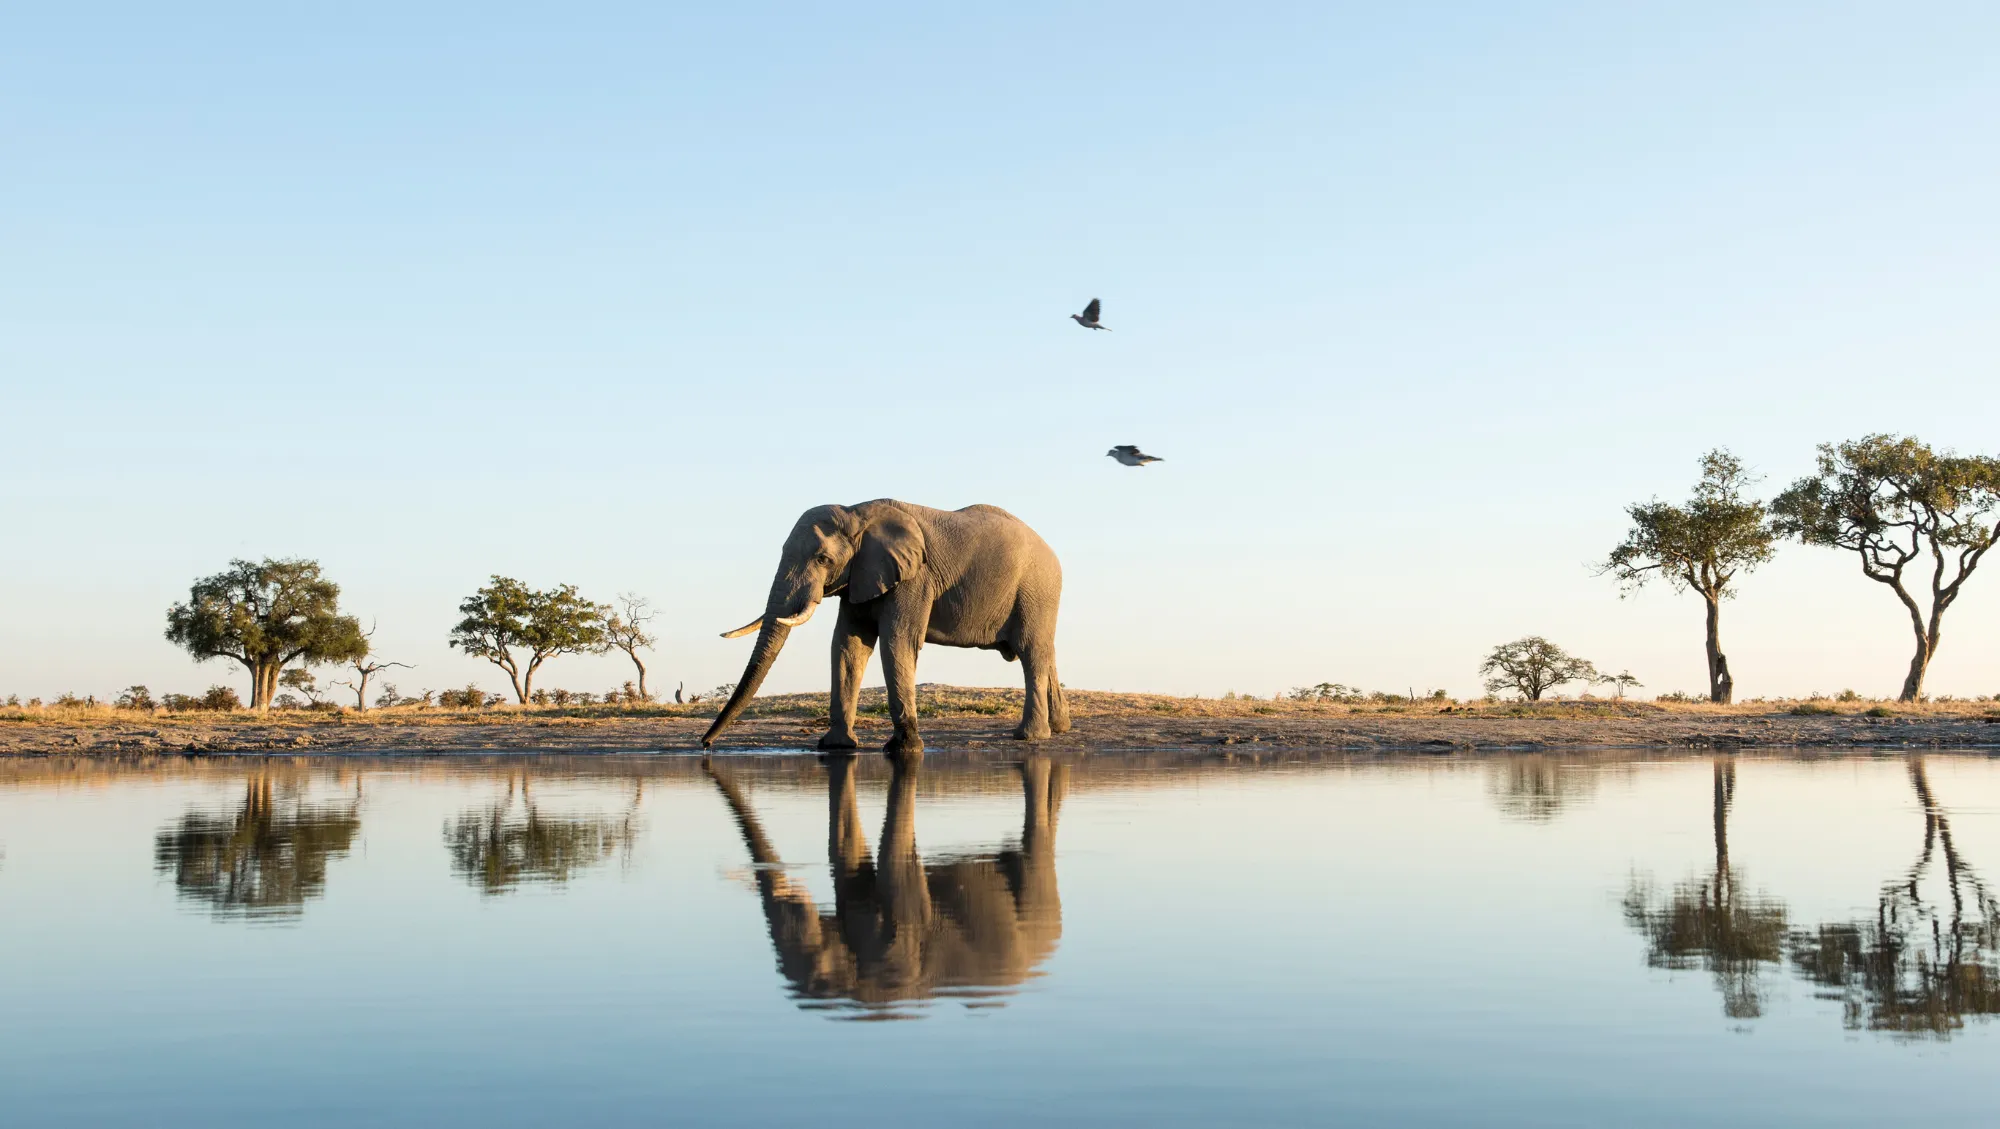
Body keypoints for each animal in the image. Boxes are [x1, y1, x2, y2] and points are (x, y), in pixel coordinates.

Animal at [702, 499, 1069, 756]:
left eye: (823, 560)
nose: (705, 745)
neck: (856, 513)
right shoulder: (860, 577)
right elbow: (848, 645)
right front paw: (836, 746)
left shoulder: (914, 578)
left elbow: (897, 640)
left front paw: (903, 749)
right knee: (1044, 653)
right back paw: (1060, 726)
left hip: (1035, 590)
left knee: (1031, 653)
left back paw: (1029, 736)